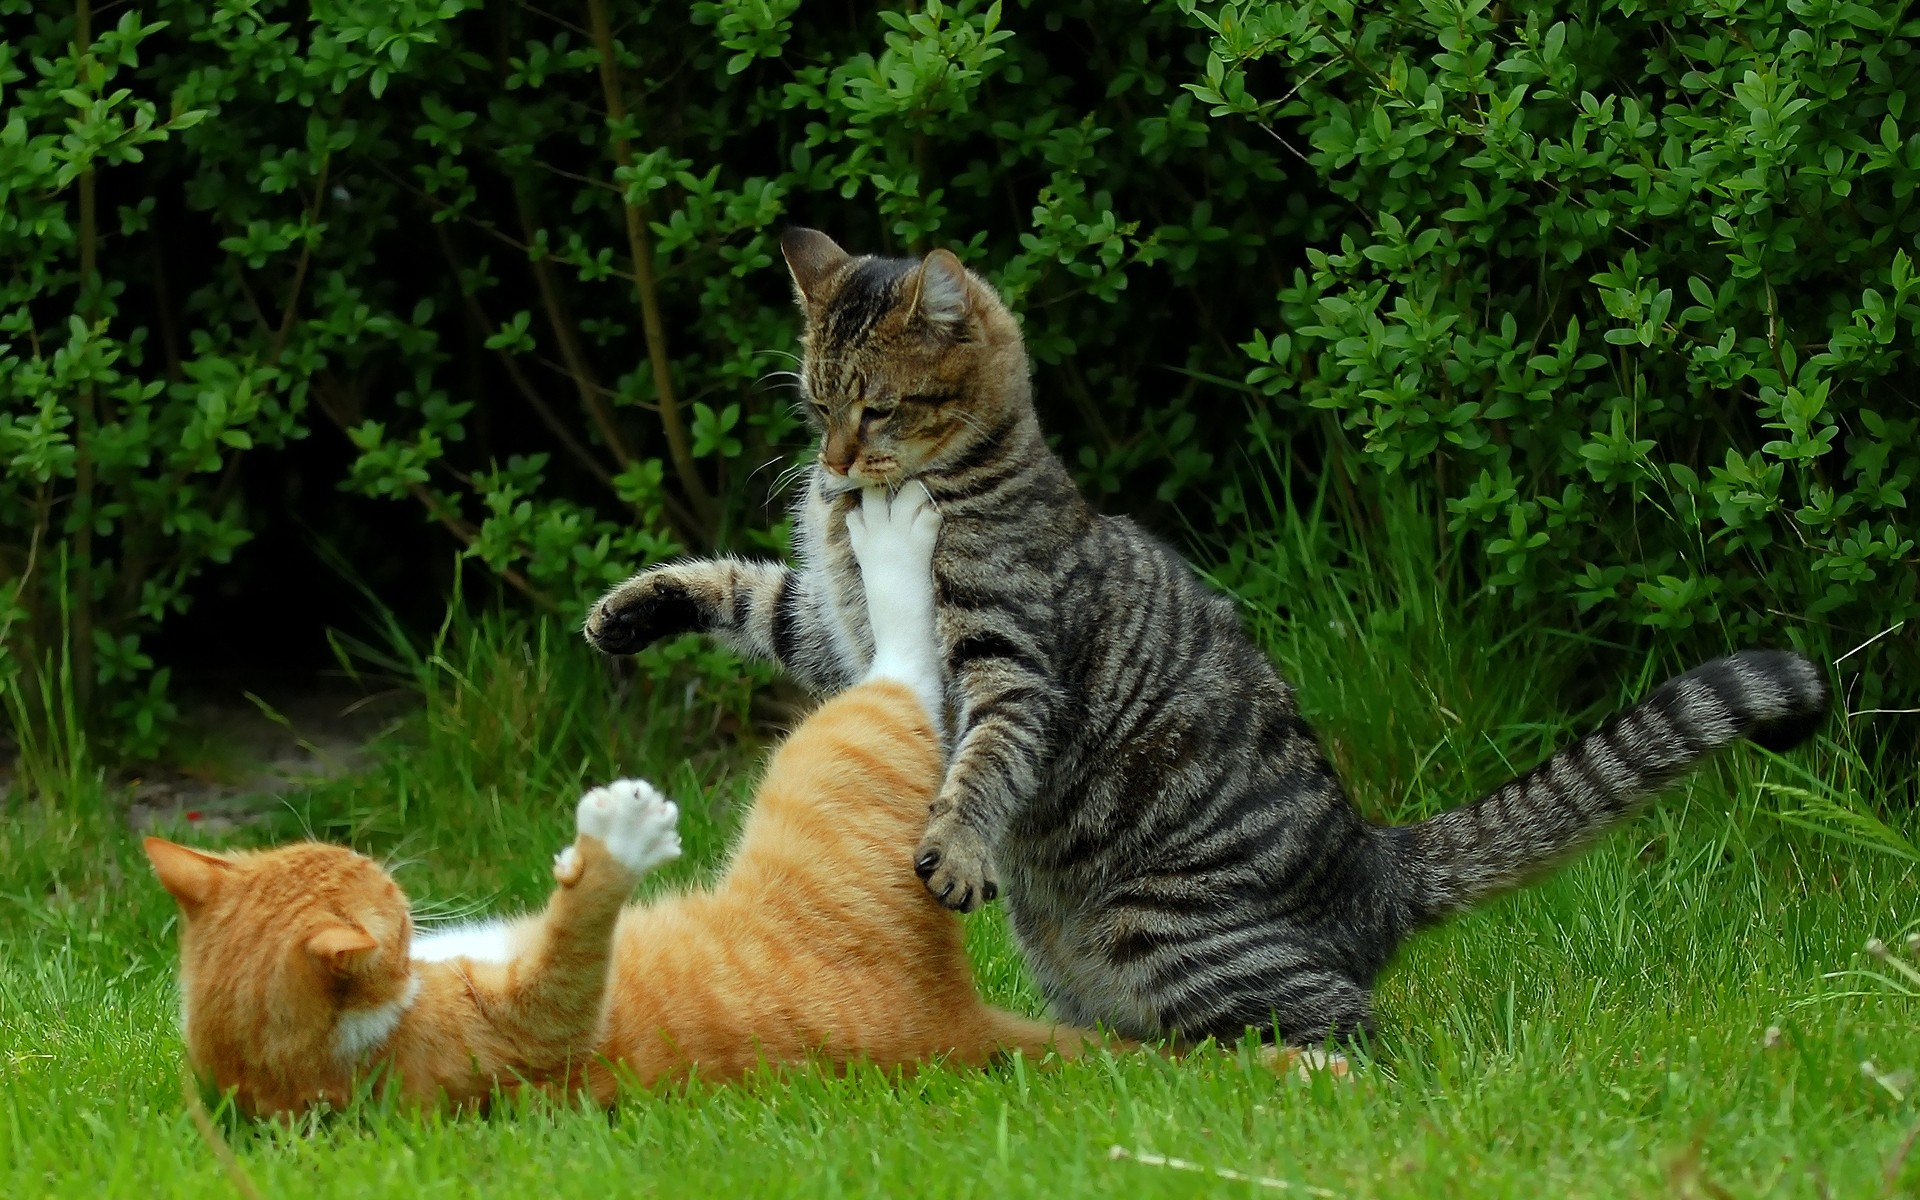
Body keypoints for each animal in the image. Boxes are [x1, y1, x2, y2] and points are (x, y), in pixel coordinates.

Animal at [144, 483, 1098, 1113]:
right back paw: (891, 540)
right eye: (379, 896)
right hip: (843, 746)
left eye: (343, 859)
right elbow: (567, 965)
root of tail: (955, 1021)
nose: (392, 875)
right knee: (904, 666)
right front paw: (616, 840)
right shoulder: (520, 1033)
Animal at [579, 226, 1827, 1044]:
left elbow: (981, 764)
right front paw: (629, 607)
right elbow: (749, 591)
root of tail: (1375, 862)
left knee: (1358, 1030)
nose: (834, 463)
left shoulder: (1002, 662)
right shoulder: (832, 634)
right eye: (815, 403)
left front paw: (956, 845)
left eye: (876, 409)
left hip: (1173, 934)